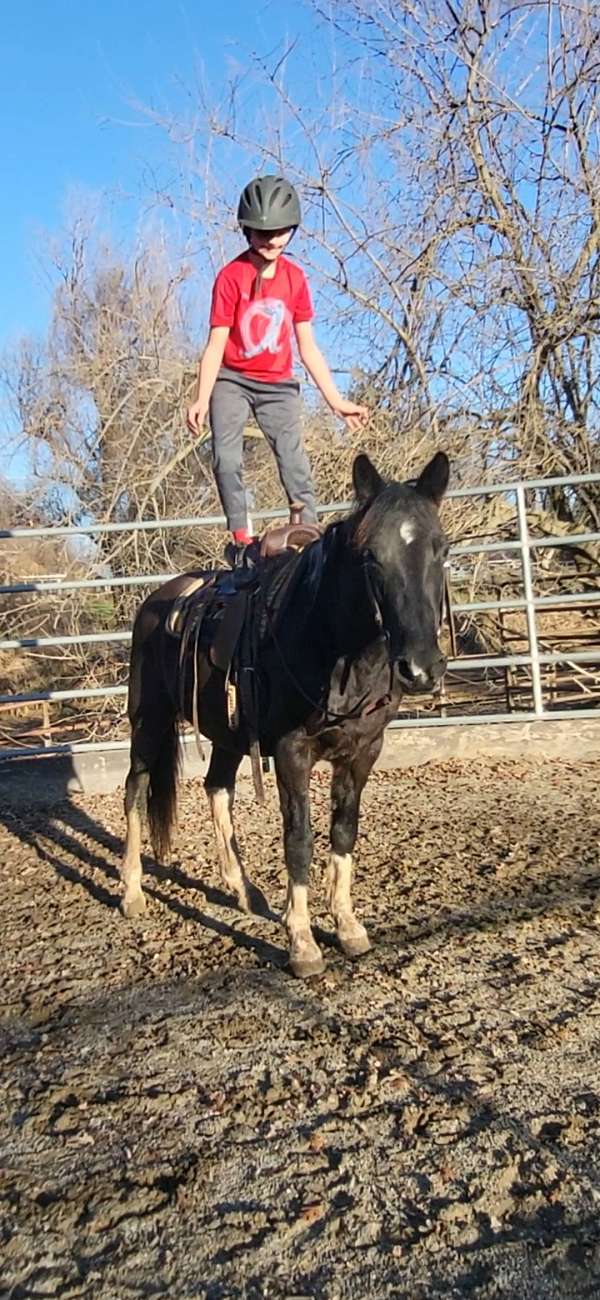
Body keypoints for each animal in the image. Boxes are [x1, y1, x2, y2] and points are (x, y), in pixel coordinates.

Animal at [119, 452, 449, 977]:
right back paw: (131, 892)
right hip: (148, 720)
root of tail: (157, 600)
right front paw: (302, 942)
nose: (420, 669)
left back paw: (244, 891)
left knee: (217, 787)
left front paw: (347, 926)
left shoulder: (363, 752)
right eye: (370, 556)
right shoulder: (292, 752)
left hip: (228, 732)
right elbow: (299, 839)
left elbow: (343, 833)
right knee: (137, 789)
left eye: (441, 549)